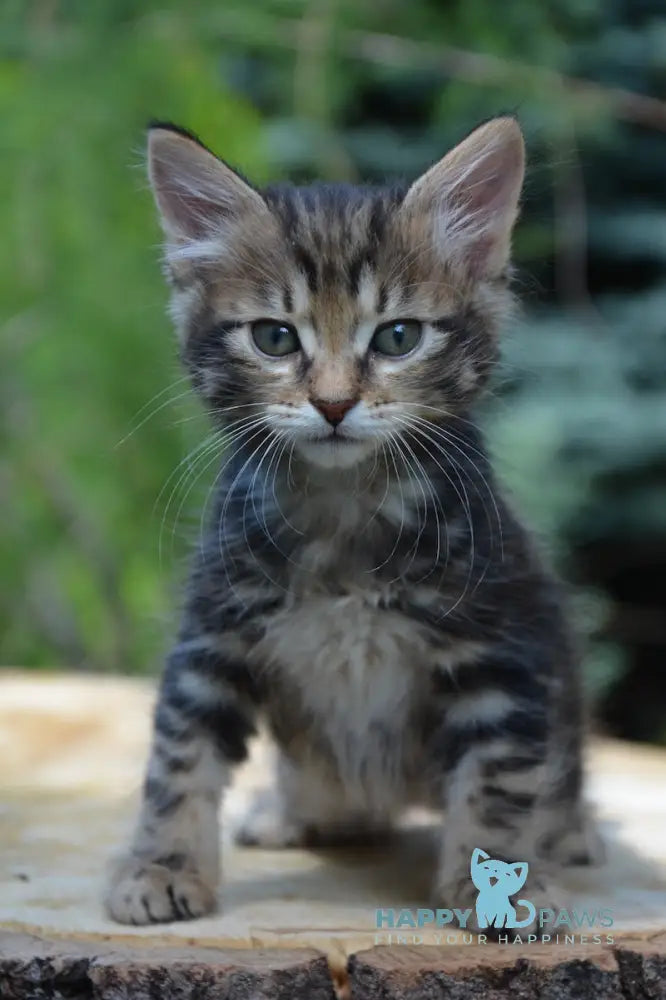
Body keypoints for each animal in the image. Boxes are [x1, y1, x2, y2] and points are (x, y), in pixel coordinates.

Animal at [104, 117, 596, 928]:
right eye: (275, 338)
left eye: (397, 337)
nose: (333, 404)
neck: (344, 504)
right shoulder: (213, 636)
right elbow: (179, 761)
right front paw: (159, 866)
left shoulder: (501, 648)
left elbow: (498, 780)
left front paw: (496, 886)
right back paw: (295, 811)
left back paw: (573, 835)